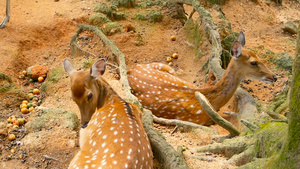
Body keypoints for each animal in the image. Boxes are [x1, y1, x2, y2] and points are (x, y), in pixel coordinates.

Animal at [127, 31, 278, 125]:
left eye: (259, 57)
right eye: (253, 62)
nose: (274, 77)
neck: (212, 101)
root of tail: (129, 71)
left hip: (165, 68)